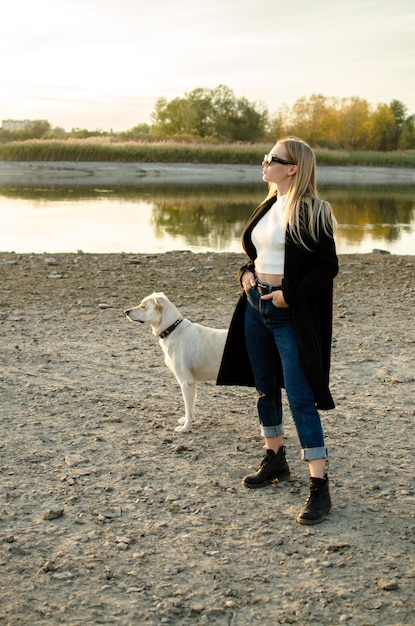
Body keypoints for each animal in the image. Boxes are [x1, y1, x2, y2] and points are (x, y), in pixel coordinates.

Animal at [125, 292, 228, 428]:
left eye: (143, 306)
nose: (126, 311)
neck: (172, 329)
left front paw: (185, 428)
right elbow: (191, 408)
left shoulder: (185, 382)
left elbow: (188, 408)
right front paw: (187, 421)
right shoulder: (192, 383)